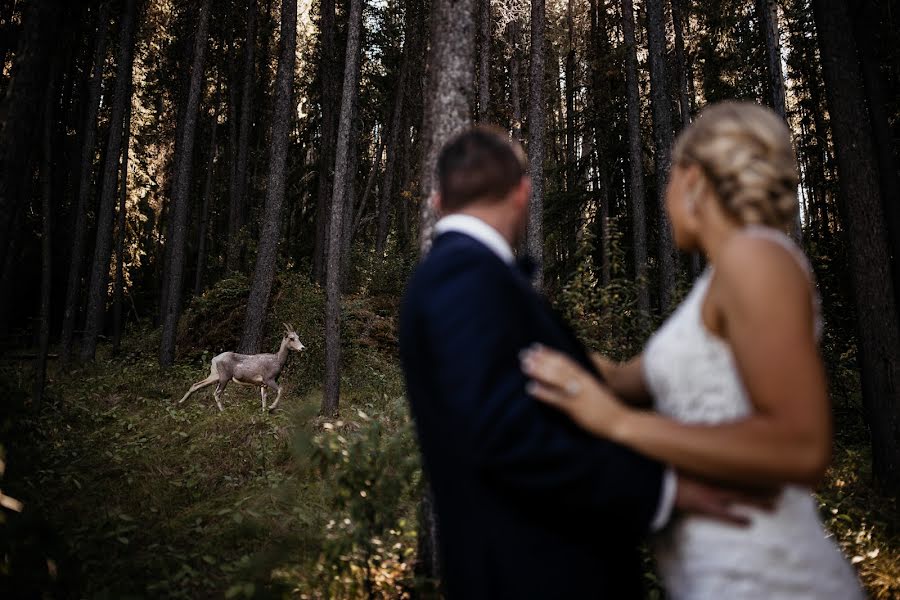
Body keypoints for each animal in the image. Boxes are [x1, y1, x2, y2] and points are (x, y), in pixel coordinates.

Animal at [178, 324, 308, 412]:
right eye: (291, 338)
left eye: (298, 336)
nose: (302, 348)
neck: (277, 360)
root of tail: (214, 360)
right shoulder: (268, 379)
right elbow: (281, 389)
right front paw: (271, 407)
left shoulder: (263, 384)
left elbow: (263, 398)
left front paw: (264, 412)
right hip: (224, 377)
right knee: (216, 393)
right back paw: (223, 411)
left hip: (215, 375)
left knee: (196, 385)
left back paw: (180, 402)